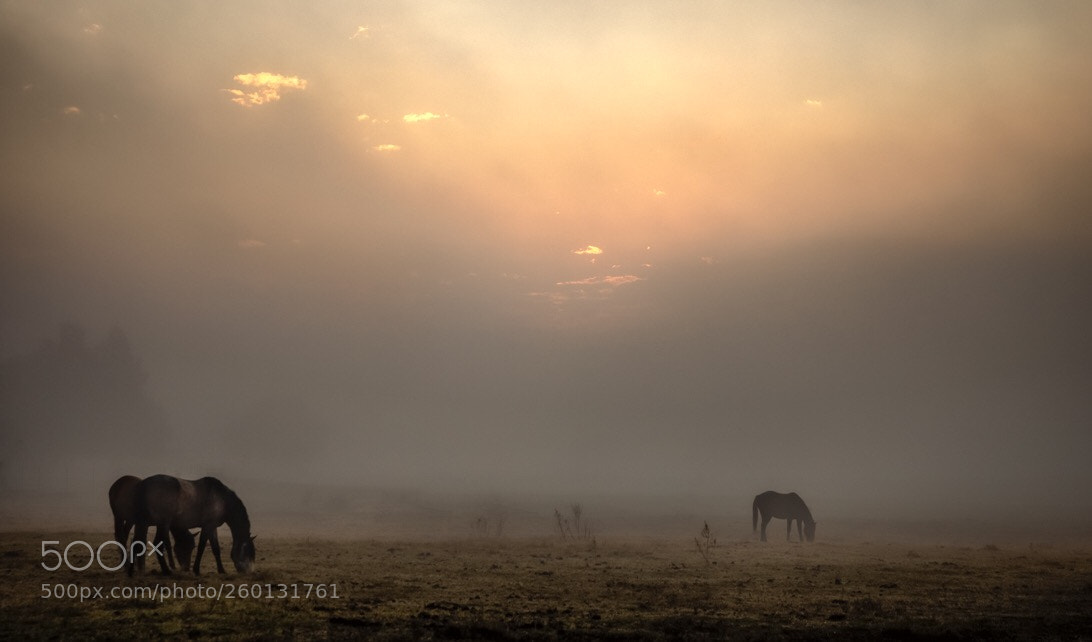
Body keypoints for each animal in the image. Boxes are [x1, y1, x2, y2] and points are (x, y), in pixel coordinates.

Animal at [128, 474, 256, 576]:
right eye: (248, 552)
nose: (248, 572)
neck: (222, 499)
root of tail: (143, 485)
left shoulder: (213, 527)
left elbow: (216, 548)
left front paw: (221, 570)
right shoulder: (207, 526)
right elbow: (201, 547)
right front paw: (196, 570)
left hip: (143, 523)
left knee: (136, 543)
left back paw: (131, 572)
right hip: (162, 524)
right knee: (157, 544)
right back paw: (166, 571)